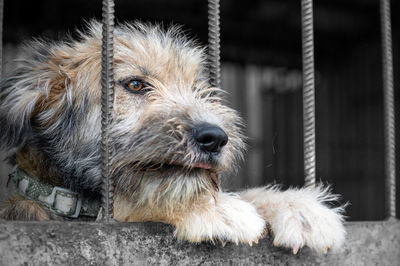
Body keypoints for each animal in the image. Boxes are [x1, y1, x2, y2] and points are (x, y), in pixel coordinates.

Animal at [0, 20, 344, 254]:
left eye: (197, 89)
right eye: (136, 84)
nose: (215, 138)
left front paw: (297, 208)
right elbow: (146, 198)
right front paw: (209, 208)